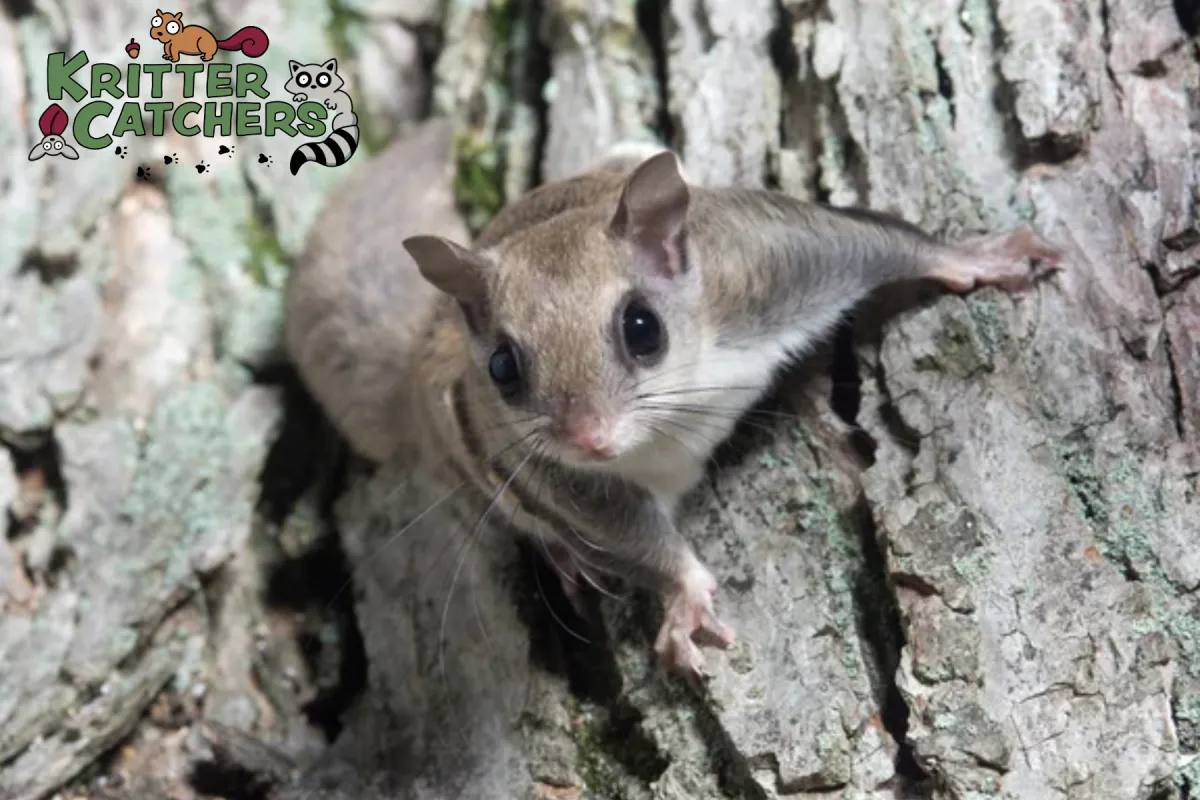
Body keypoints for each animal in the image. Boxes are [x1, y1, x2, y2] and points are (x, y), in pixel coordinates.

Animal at [284, 121, 1065, 677]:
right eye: (503, 367)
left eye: (642, 328)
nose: (592, 438)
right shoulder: (545, 468)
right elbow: (625, 532)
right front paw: (685, 597)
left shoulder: (765, 263)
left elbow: (875, 241)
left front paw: (979, 257)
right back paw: (566, 559)